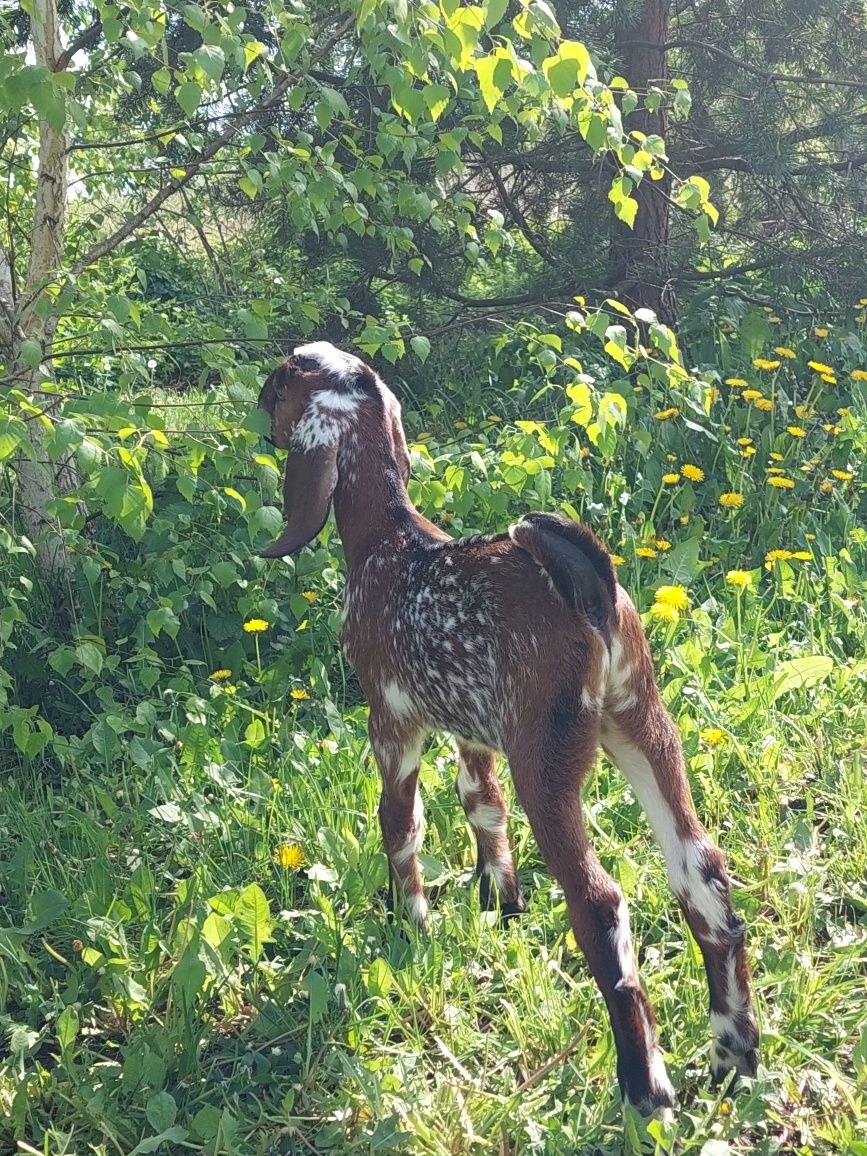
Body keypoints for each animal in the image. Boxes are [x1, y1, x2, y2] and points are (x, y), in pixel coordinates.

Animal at [256, 339, 758, 1119]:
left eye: (284, 377)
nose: (257, 401)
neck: (389, 543)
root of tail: (589, 590)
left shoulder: (392, 720)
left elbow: (401, 825)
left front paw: (411, 922)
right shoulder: (472, 728)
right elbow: (481, 806)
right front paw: (501, 901)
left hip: (546, 760)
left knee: (600, 903)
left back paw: (645, 1090)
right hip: (642, 723)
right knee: (700, 872)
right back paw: (734, 1053)